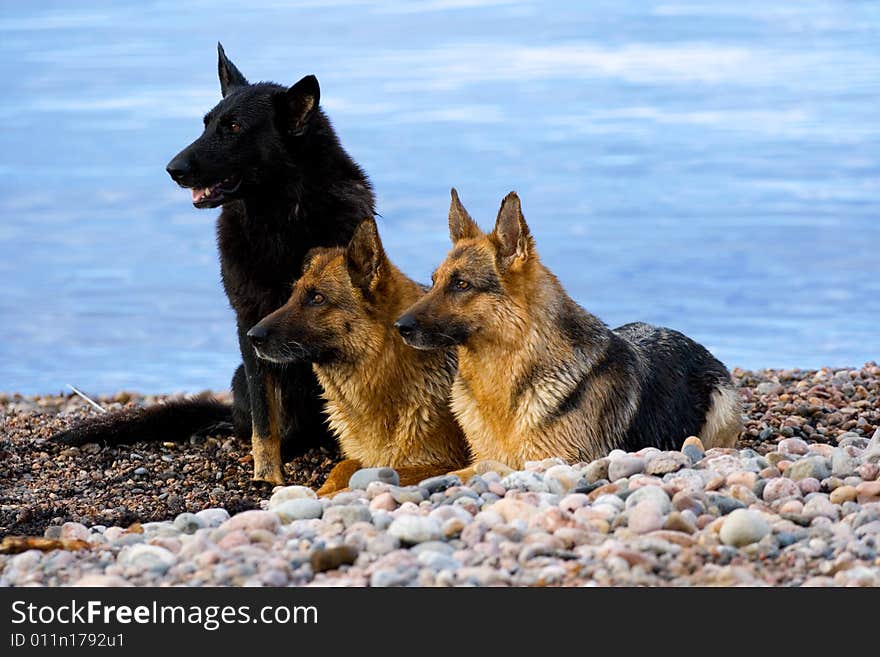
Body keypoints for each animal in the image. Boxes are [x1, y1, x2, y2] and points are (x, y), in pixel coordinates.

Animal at [50, 42, 374, 482]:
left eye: (234, 128)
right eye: (206, 125)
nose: (173, 170)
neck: (279, 219)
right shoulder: (249, 325)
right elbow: (264, 420)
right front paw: (266, 475)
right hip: (241, 379)